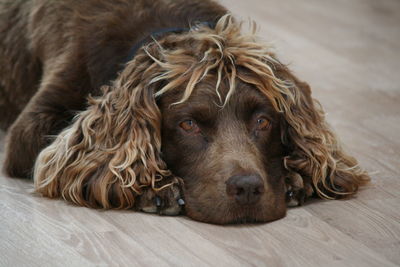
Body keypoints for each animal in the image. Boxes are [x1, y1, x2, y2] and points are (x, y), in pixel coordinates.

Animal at [0, 0, 370, 225]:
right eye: (189, 124)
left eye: (263, 122)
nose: (248, 188)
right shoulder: (30, 130)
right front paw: (156, 187)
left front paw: (294, 177)